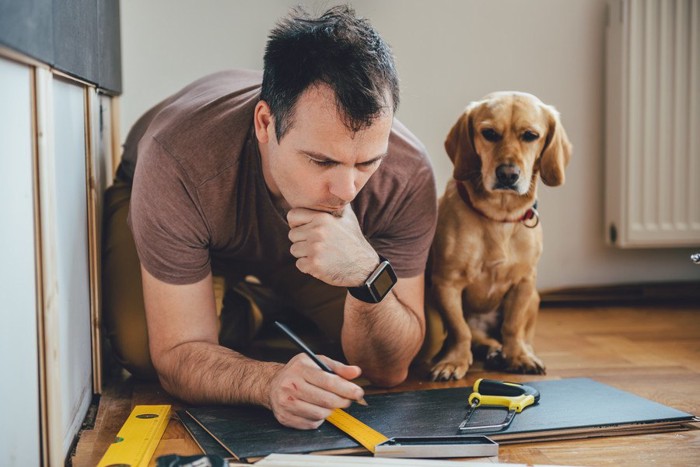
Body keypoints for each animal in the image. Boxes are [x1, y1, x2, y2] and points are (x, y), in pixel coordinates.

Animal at [426, 91, 576, 380]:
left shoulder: (524, 283)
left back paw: (515, 352)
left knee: (516, 335)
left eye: (530, 135)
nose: (508, 174)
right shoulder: (446, 283)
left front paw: (517, 356)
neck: (499, 218)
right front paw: (454, 360)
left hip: (535, 298)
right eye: (489, 133)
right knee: (476, 336)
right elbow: (459, 330)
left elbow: (512, 326)